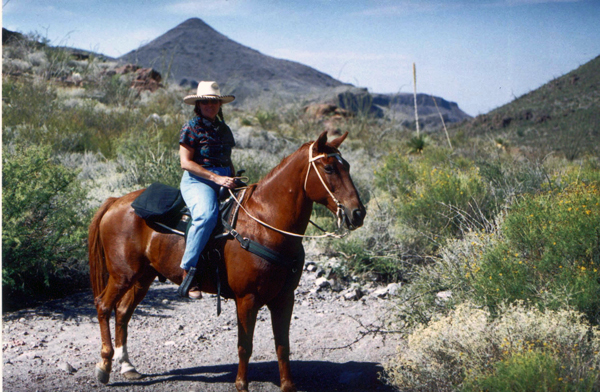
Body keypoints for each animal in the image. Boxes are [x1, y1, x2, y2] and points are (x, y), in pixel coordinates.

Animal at [86, 132, 364, 392]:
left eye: (348, 166)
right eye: (328, 168)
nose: (358, 213)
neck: (266, 223)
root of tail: (115, 202)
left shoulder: (284, 297)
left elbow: (282, 345)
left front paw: (287, 385)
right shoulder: (247, 298)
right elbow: (245, 345)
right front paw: (241, 384)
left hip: (143, 277)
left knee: (123, 312)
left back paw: (127, 366)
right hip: (122, 275)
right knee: (104, 306)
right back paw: (104, 366)